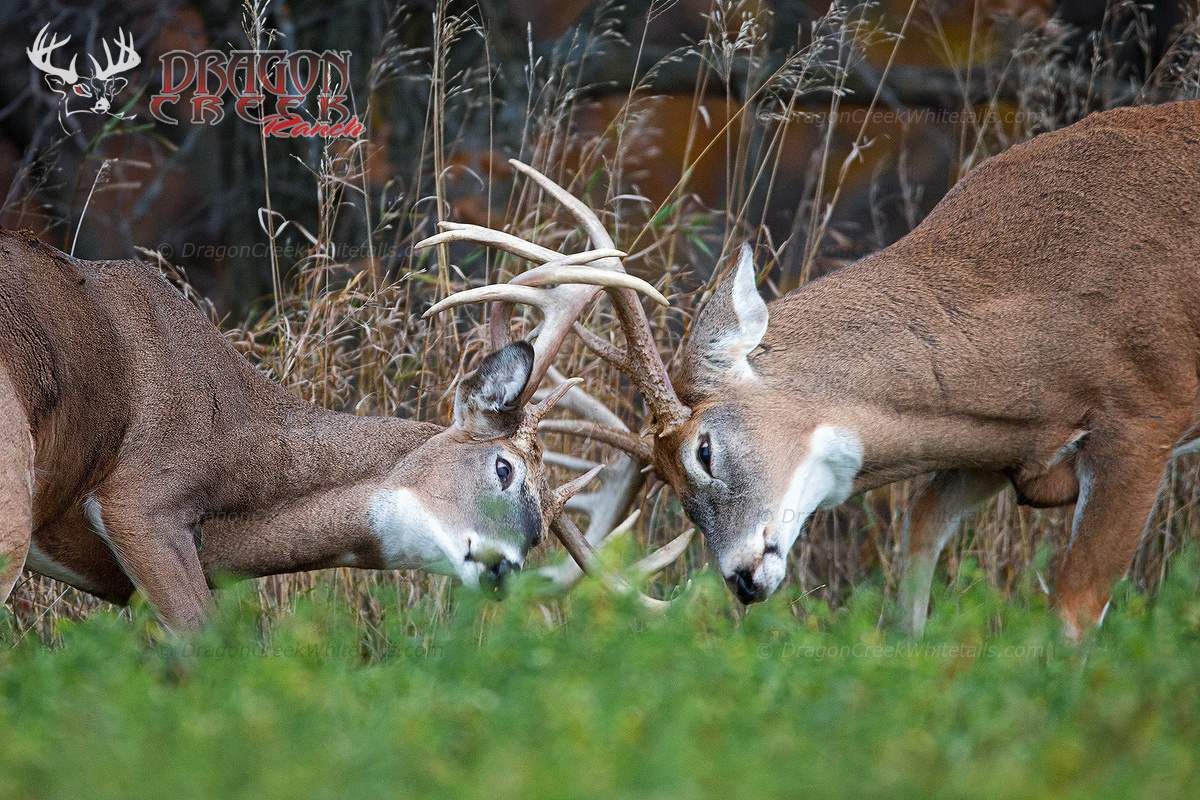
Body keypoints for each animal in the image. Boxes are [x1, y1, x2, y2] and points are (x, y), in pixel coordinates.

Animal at [427, 99, 1200, 639]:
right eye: (675, 497)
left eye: (704, 449)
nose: (740, 580)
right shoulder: (1001, 450)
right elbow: (919, 542)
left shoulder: (1145, 418)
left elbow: (1072, 614)